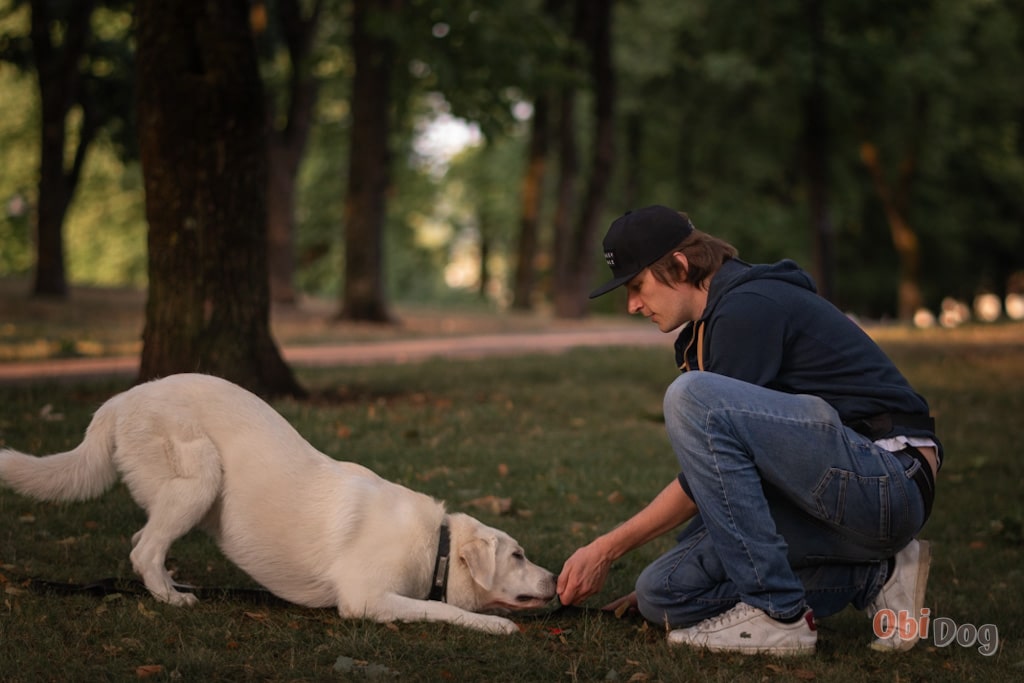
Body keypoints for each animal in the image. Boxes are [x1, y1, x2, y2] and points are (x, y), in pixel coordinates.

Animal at [0, 373, 556, 634]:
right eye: (518, 555)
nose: (555, 579)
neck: (435, 543)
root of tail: (120, 400)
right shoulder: (365, 599)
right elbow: (440, 610)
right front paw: (496, 625)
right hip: (201, 476)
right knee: (143, 549)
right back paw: (172, 599)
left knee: (145, 542)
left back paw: (173, 586)